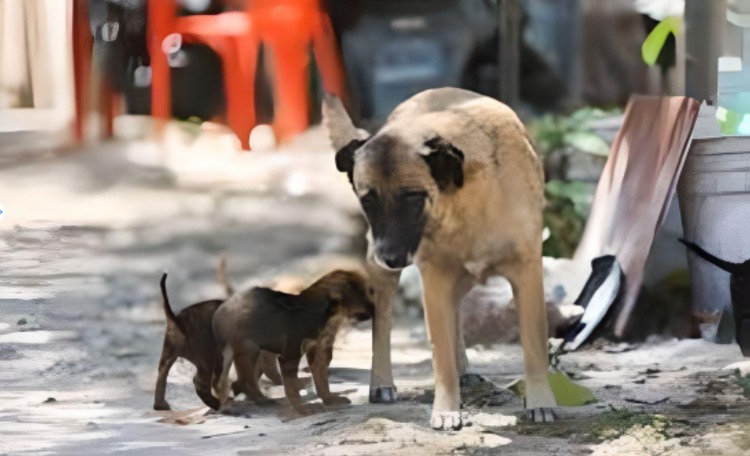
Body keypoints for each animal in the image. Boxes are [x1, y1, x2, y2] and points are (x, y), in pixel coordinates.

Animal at [212, 270, 376, 410]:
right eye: (363, 294)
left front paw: (328, 399)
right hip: (247, 349)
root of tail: (221, 308)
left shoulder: (319, 352)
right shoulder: (289, 355)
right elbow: (291, 386)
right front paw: (301, 409)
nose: (375, 308)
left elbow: (321, 379)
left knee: (237, 382)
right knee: (238, 381)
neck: (330, 318)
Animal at [324, 87, 560, 430]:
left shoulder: (527, 273)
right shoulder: (434, 280)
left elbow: (534, 347)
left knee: (457, 311)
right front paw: (447, 409)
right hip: (389, 279)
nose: (388, 256)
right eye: (367, 200)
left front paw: (541, 400)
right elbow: (441, 355)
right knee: (383, 322)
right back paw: (382, 382)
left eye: (412, 198)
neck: (465, 199)